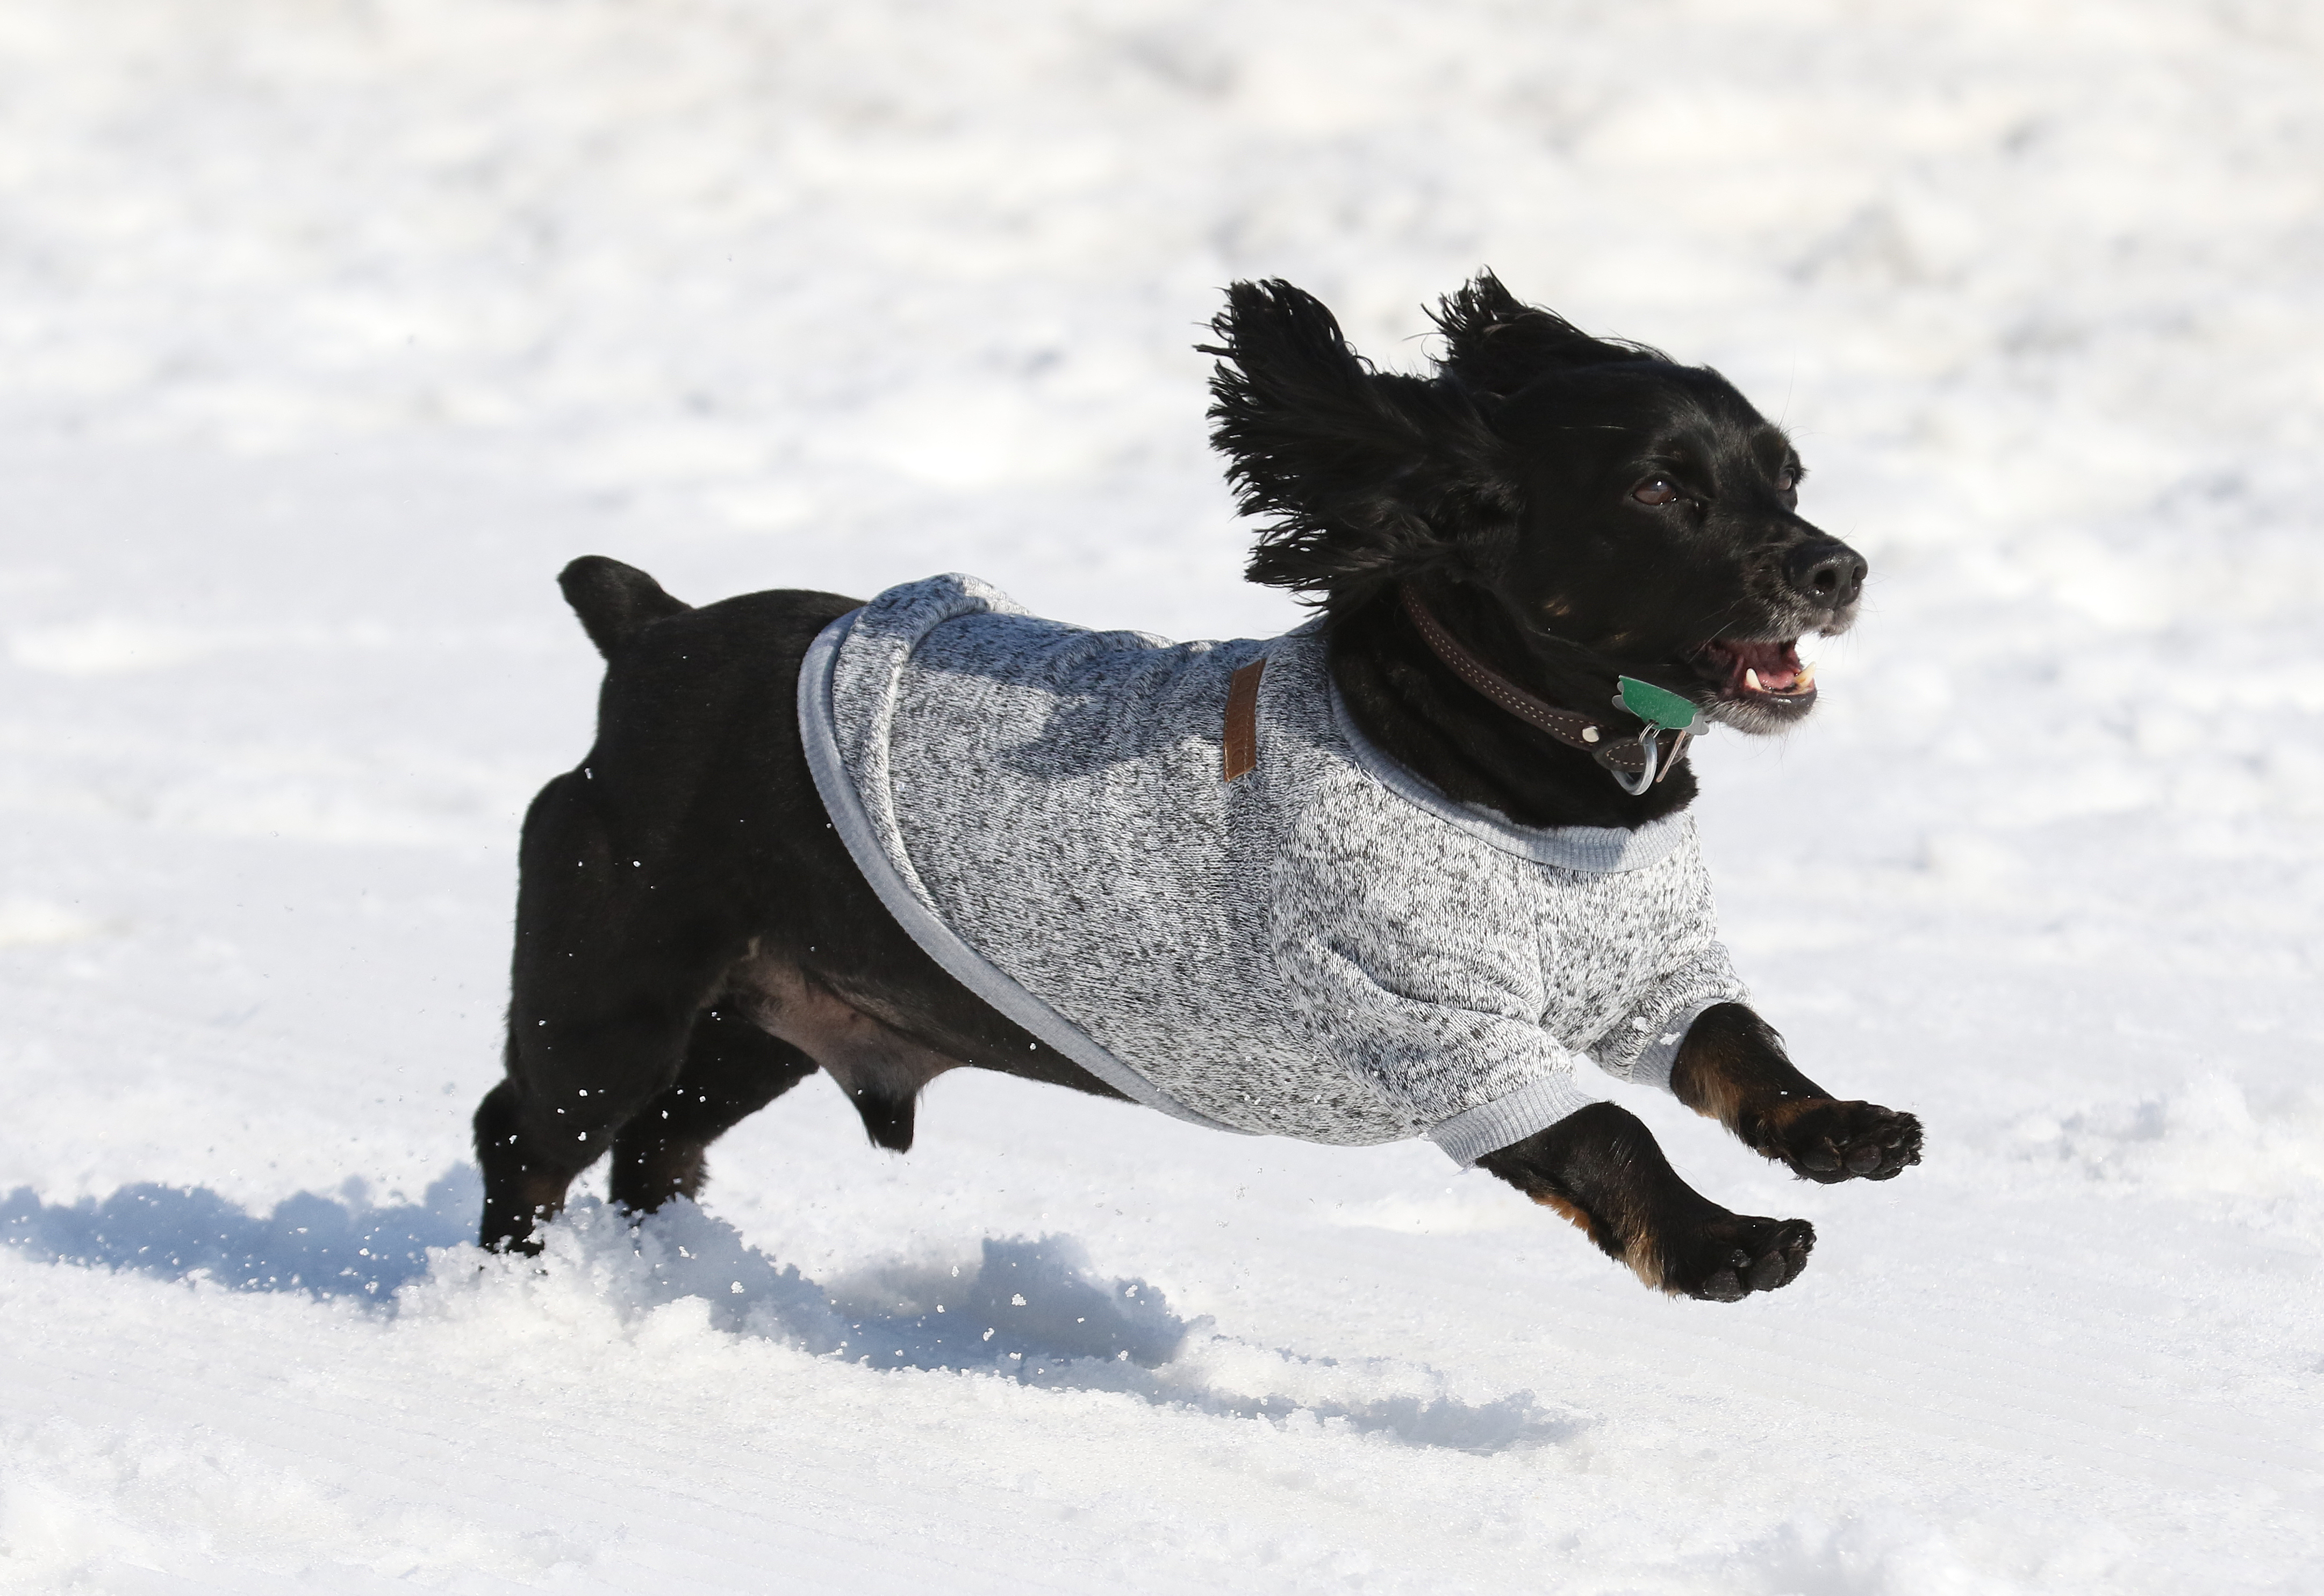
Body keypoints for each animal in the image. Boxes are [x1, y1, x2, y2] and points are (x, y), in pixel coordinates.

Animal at [475, 272, 1921, 1302]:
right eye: (1661, 489)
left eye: (1786, 476)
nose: (1837, 567)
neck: (1548, 783)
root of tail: (653, 632)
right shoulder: (1428, 1021)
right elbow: (1607, 1133)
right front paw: (1723, 1245)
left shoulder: (1648, 971)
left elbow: (1735, 1044)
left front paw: (1842, 1129)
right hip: (614, 982)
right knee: (527, 1132)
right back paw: (512, 1296)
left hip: (775, 1012)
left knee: (660, 1148)